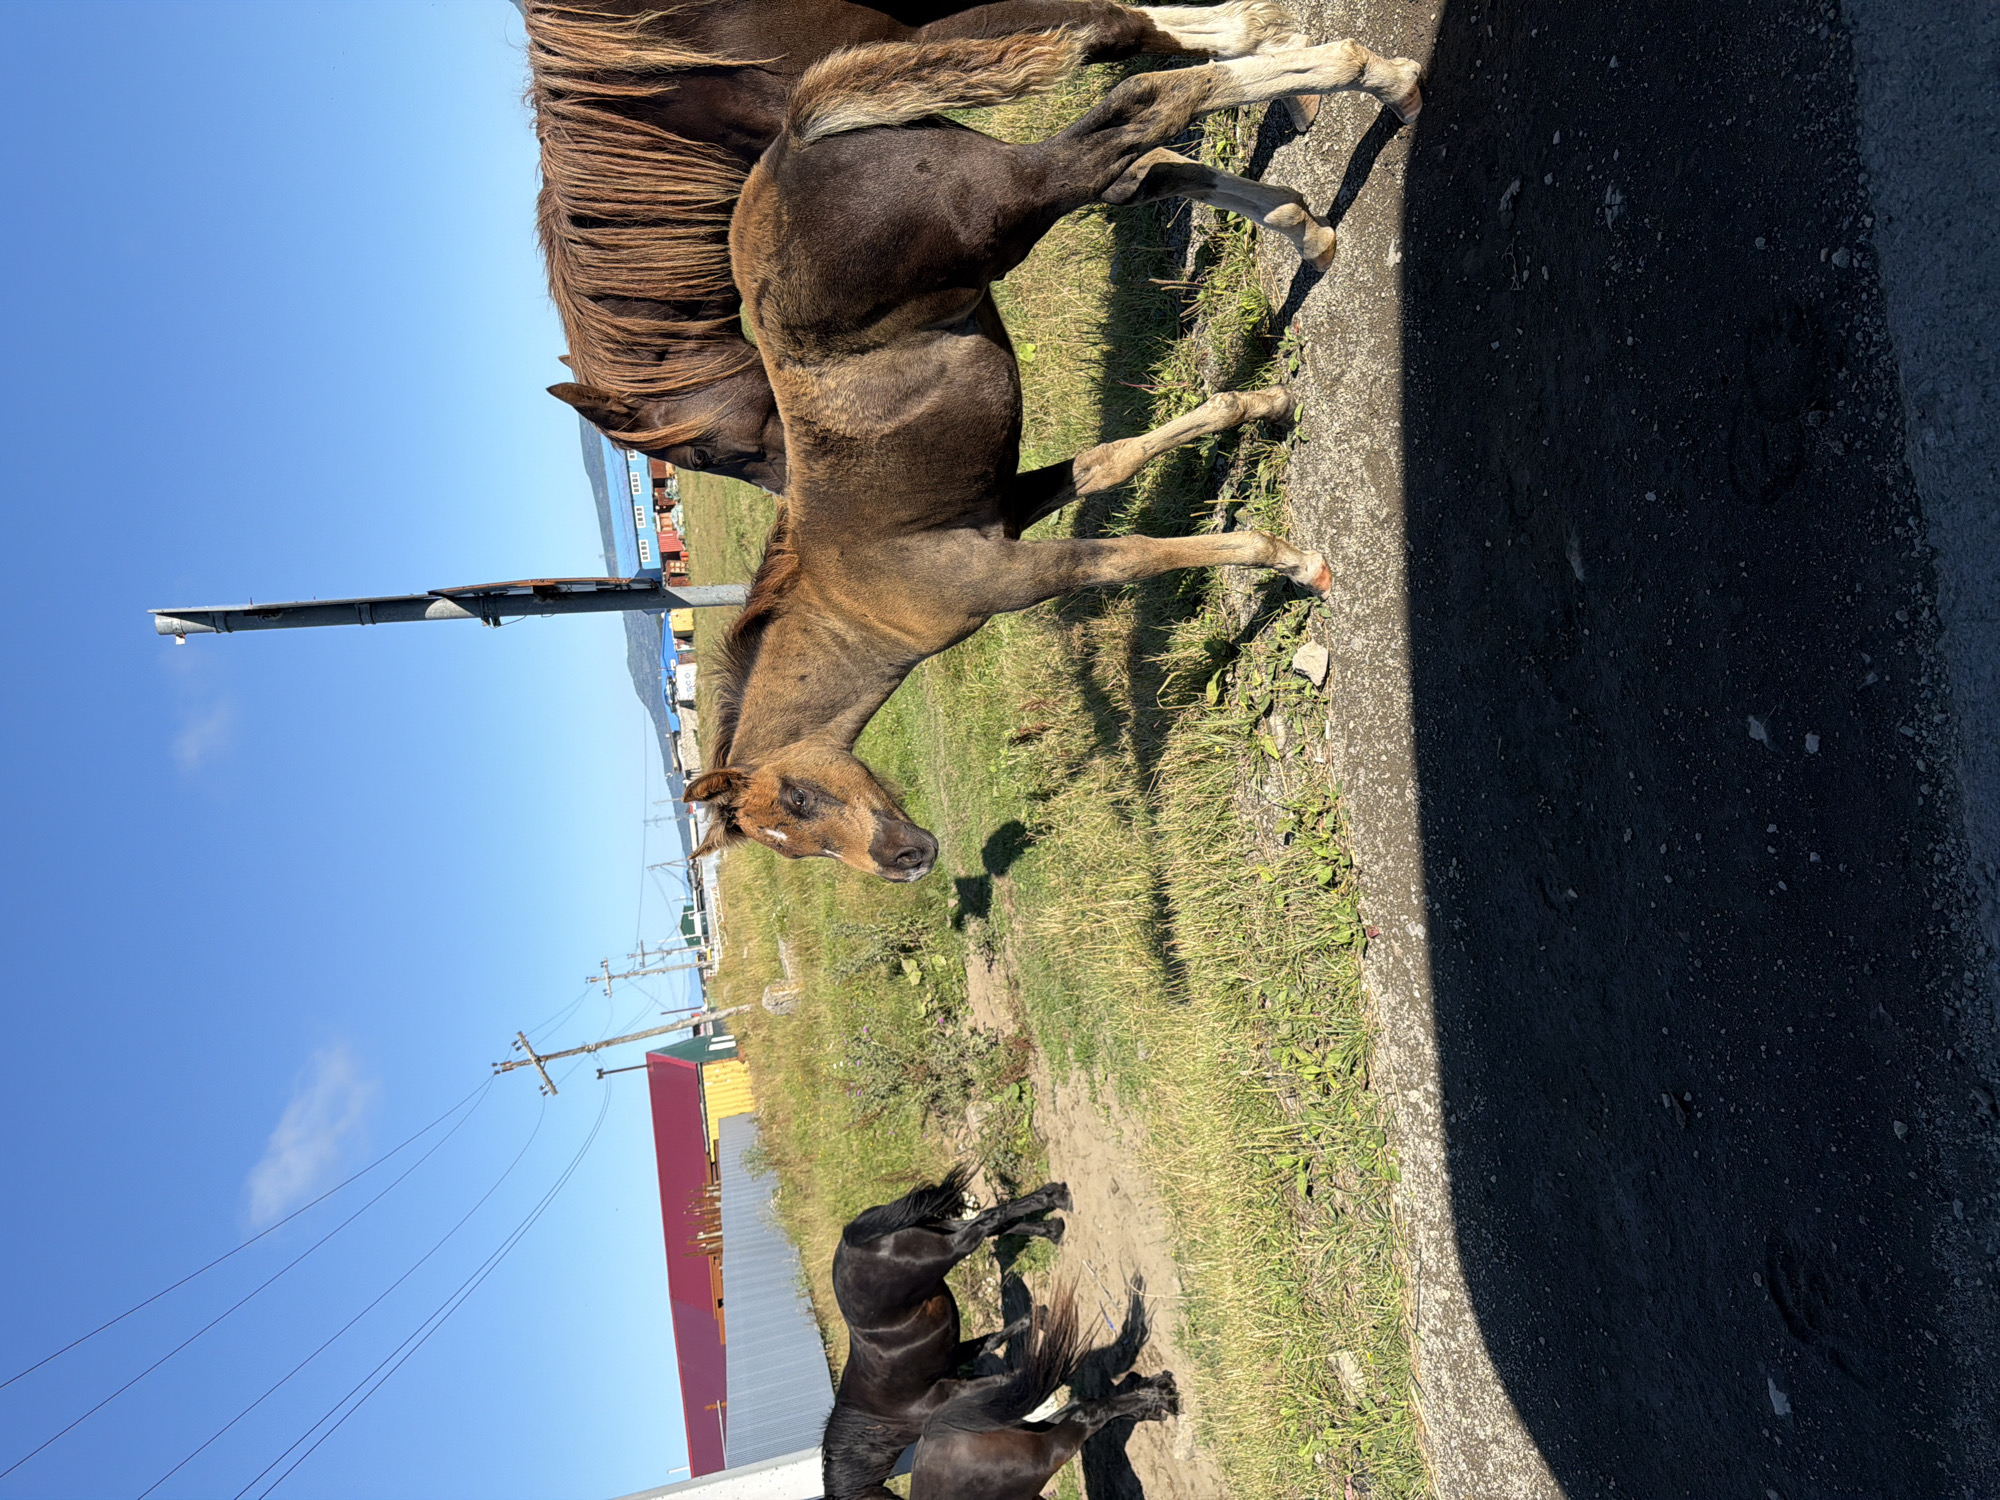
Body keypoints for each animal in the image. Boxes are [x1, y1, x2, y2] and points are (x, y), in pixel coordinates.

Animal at [525, 0, 1323, 491]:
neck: (677, 86)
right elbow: (1134, 162)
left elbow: (1115, 34)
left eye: (708, 452)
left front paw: (1276, 43)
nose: (796, 495)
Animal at [682, 28, 1422, 880]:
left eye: (798, 803)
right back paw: (1314, 222)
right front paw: (1254, 405)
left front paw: (1294, 561)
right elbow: (1110, 462)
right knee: (1145, 162)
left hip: (1011, 203)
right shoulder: (1004, 505)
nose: (909, 859)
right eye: (800, 851)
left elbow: (1137, 554)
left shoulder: (1013, 575)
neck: (859, 598)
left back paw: (1382, 81)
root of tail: (795, 136)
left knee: (1144, 109)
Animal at [822, 1168, 1072, 1499]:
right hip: (941, 1231)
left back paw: (1055, 1201)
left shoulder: (955, 1390)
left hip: (948, 1251)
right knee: (992, 1224)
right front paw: (1040, 1321)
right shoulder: (957, 1357)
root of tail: (852, 1236)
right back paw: (1052, 1220)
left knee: (988, 1221)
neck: (878, 1420)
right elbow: (995, 1342)